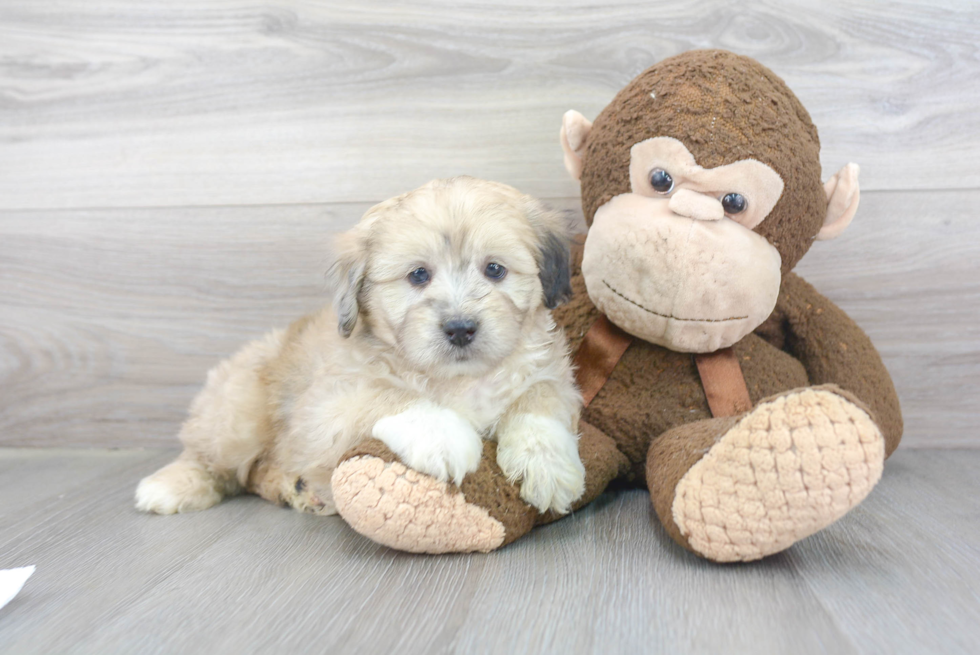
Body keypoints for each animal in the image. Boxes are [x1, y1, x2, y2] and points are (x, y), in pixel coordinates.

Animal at [134, 177, 584, 520]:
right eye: (418, 275)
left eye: (494, 269)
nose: (460, 329)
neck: (457, 380)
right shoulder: (327, 406)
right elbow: (388, 395)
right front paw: (444, 436)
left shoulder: (552, 375)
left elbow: (538, 402)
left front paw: (547, 464)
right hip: (237, 415)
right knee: (215, 460)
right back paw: (171, 486)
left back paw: (296, 489)